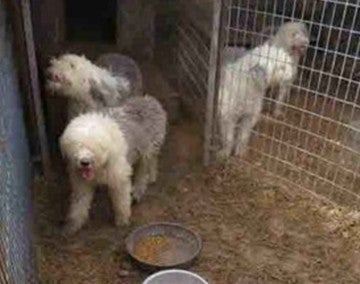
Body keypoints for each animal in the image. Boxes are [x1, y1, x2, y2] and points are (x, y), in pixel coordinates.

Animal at [59, 95, 167, 235]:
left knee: (143, 171)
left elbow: (121, 201)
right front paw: (72, 225)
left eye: (95, 147)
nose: (84, 162)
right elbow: (79, 203)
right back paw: (152, 177)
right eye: (77, 145)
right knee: (153, 162)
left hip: (147, 151)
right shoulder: (81, 183)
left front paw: (122, 220)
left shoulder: (119, 179)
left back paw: (139, 189)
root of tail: (149, 99)